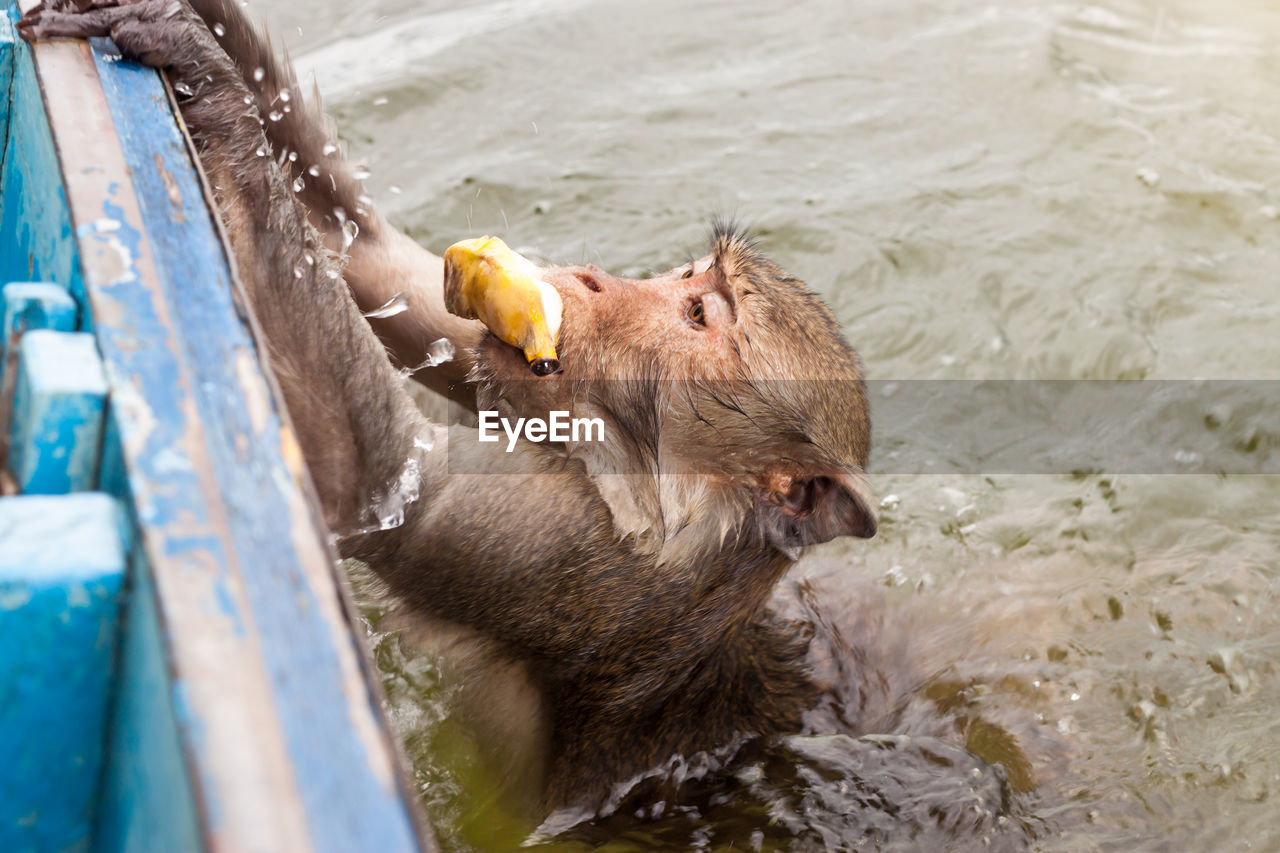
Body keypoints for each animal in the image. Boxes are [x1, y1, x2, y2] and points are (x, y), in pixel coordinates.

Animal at [17, 0, 880, 819]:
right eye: (686, 276)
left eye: (699, 315)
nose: (594, 278)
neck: (665, 512)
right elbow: (375, 258)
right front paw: (189, 30)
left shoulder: (562, 551)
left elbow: (372, 483)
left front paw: (198, 66)